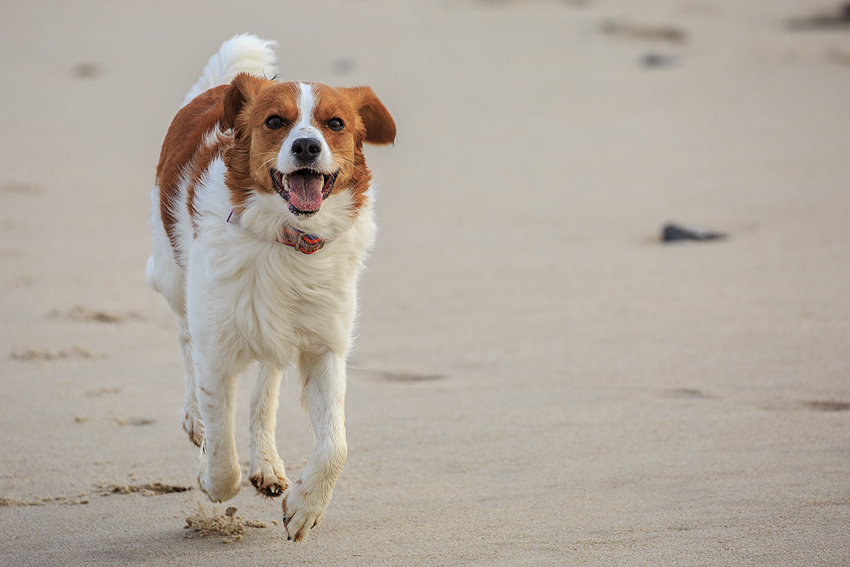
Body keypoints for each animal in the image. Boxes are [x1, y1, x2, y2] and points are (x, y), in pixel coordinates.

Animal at [145, 35, 394, 540]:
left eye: (335, 124)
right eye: (275, 122)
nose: (306, 146)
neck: (288, 237)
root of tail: (218, 87)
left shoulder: (324, 345)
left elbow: (335, 445)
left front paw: (305, 505)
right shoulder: (217, 348)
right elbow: (223, 455)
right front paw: (210, 476)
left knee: (268, 381)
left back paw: (267, 463)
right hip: (174, 278)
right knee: (185, 337)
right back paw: (195, 419)